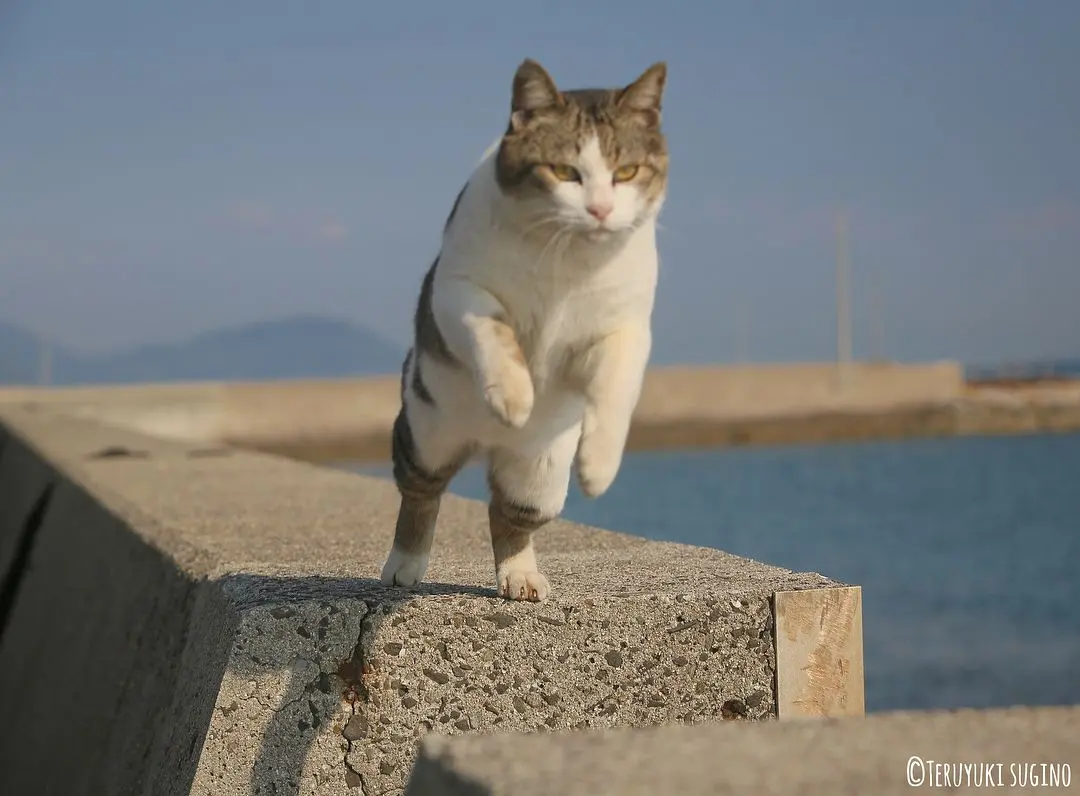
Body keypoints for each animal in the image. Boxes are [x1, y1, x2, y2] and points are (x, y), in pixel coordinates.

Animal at [380, 55, 665, 600]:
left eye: (626, 172)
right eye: (564, 171)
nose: (600, 209)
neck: (565, 253)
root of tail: (485, 445)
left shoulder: (624, 328)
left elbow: (616, 386)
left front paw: (599, 466)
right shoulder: (456, 290)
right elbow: (495, 333)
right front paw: (513, 398)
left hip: (540, 476)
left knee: (508, 514)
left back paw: (521, 577)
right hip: (428, 433)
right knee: (421, 492)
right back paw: (404, 565)